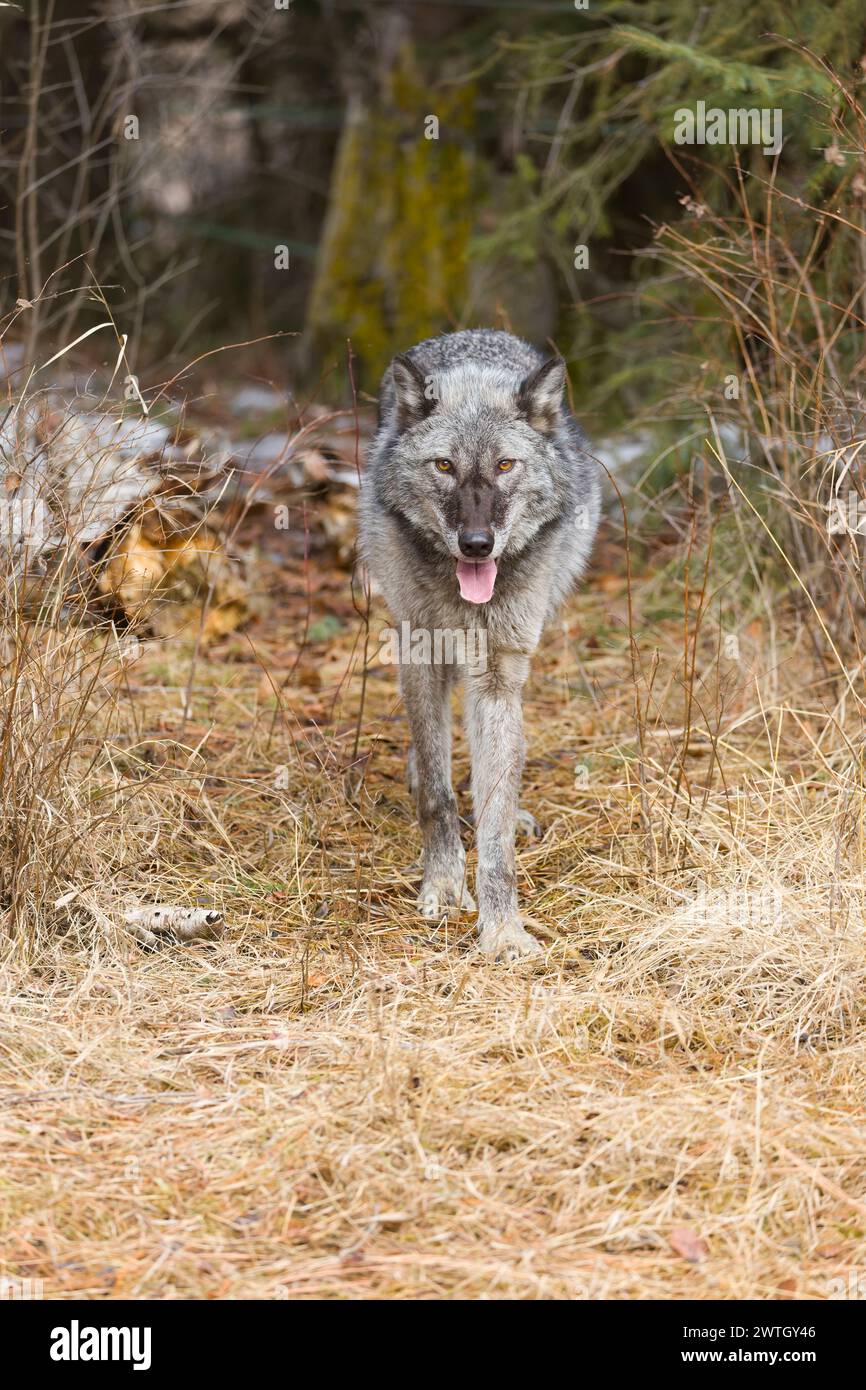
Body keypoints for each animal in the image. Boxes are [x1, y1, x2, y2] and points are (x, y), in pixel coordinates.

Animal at [359, 329, 600, 960]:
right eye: (444, 465)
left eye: (504, 465)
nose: (475, 544)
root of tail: (473, 336)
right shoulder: (418, 653)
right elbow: (437, 795)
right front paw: (444, 885)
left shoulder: (496, 676)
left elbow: (494, 830)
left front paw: (503, 929)